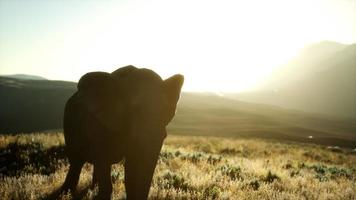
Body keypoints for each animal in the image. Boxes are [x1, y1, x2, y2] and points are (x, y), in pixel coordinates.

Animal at [59, 65, 184, 198]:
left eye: (165, 110)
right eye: (135, 108)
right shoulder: (99, 125)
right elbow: (104, 159)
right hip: (69, 122)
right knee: (76, 161)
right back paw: (66, 193)